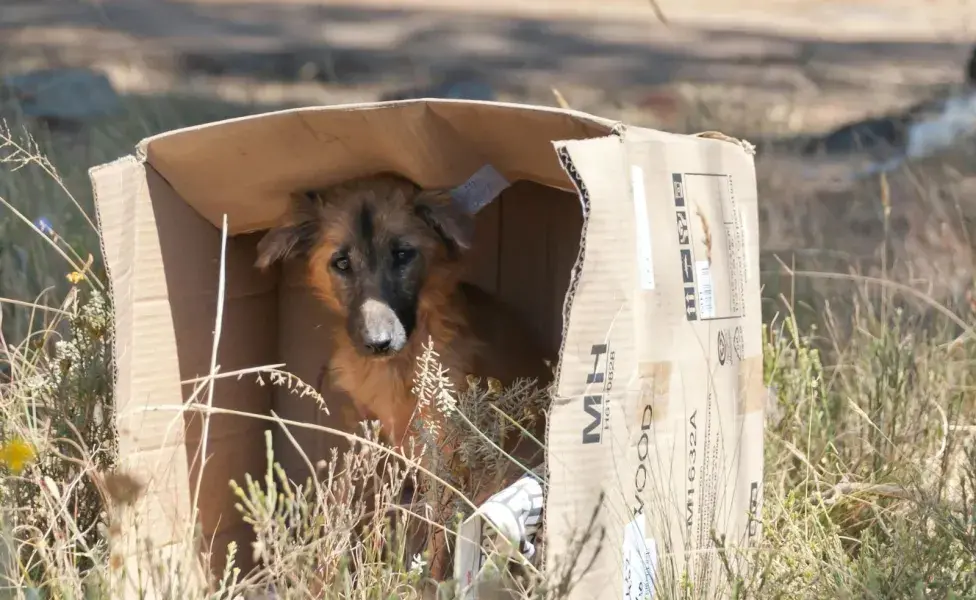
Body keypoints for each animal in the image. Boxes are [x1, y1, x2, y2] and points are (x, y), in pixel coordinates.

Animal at [255, 172, 552, 580]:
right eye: (342, 262)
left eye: (402, 254)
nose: (378, 343)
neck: (396, 368)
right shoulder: (367, 437)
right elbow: (358, 504)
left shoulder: (444, 452)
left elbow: (440, 535)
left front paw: (426, 580)